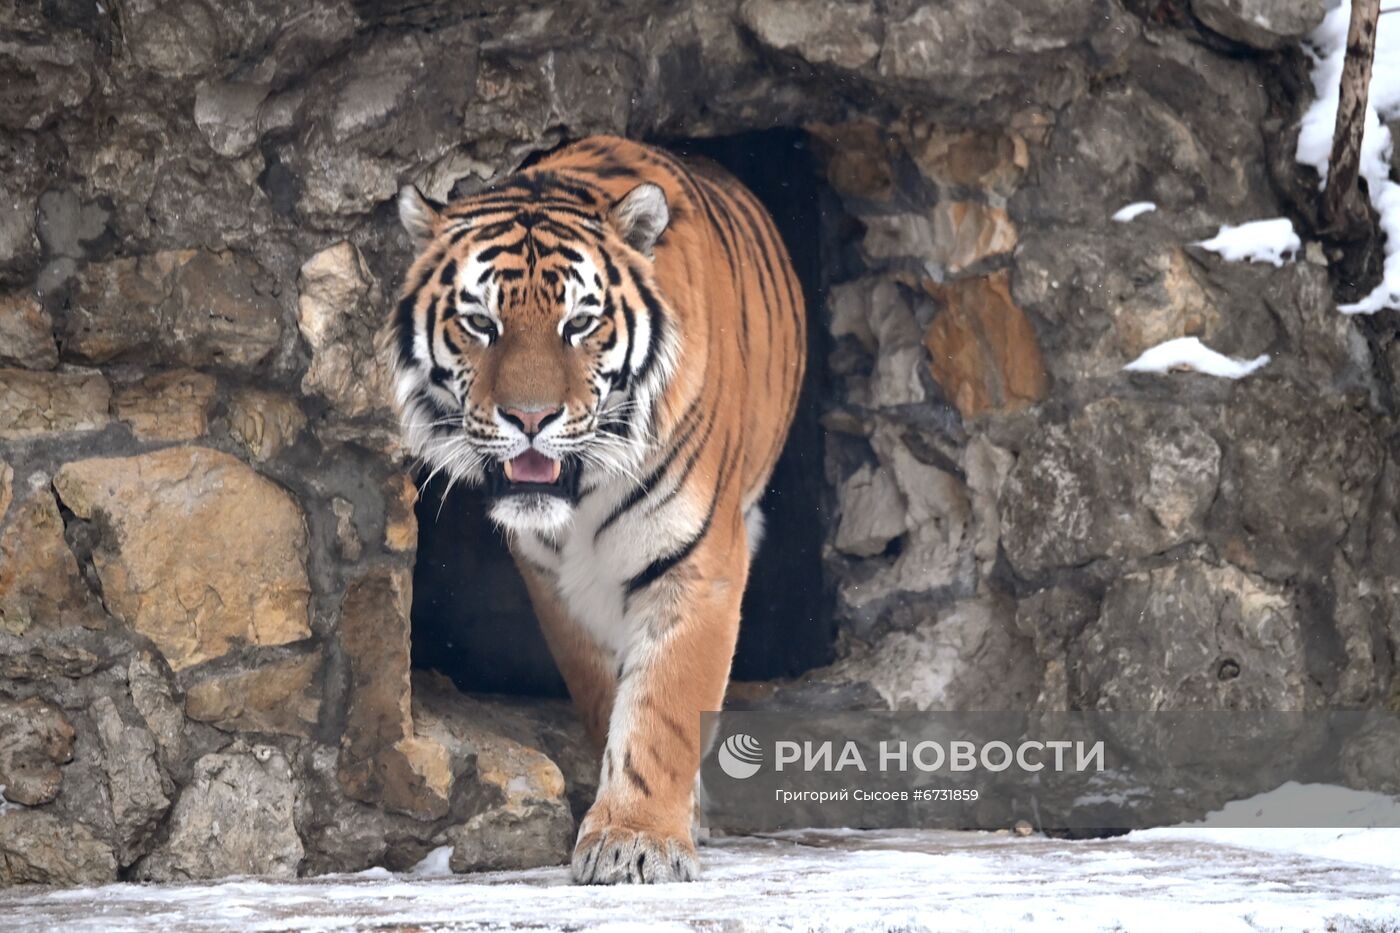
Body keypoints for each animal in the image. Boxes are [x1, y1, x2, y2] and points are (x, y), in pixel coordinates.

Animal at [389, 134, 806, 885]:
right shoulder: (554, 579)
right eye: (480, 323)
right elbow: (603, 690)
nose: (529, 418)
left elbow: (665, 703)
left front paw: (639, 840)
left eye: (579, 324)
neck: (582, 496)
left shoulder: (696, 559)